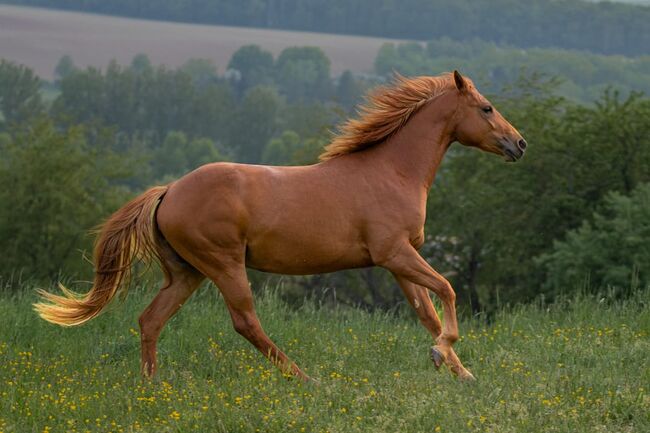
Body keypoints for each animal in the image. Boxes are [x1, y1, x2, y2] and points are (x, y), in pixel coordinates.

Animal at [33, 71, 524, 382]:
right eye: (486, 108)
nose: (519, 143)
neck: (392, 171)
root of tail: (168, 191)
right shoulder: (396, 253)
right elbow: (448, 291)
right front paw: (444, 355)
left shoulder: (397, 262)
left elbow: (427, 312)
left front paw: (459, 372)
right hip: (224, 265)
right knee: (246, 323)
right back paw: (305, 379)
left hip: (187, 273)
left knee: (150, 320)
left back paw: (151, 386)